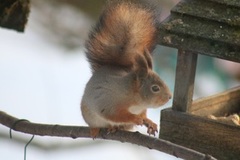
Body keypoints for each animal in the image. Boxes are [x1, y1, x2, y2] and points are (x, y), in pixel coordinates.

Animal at [81, 0, 172, 138]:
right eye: (155, 88)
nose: (170, 97)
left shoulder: (141, 109)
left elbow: (143, 115)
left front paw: (148, 122)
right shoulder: (110, 102)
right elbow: (116, 115)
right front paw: (135, 118)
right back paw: (97, 129)